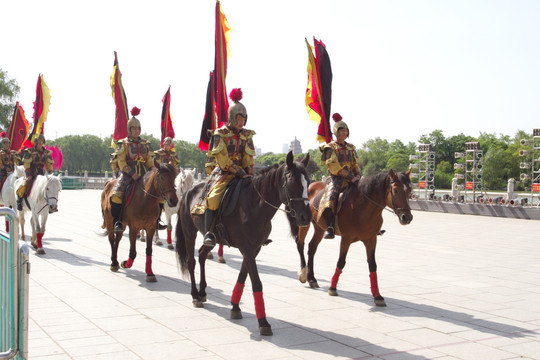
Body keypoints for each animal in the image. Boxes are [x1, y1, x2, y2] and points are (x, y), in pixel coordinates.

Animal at [177, 151, 312, 334]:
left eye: (309, 182)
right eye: (292, 182)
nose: (306, 216)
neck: (256, 205)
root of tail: (189, 191)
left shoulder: (254, 248)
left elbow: (243, 275)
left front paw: (235, 306)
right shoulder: (247, 248)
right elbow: (256, 282)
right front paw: (263, 321)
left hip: (210, 236)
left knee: (202, 255)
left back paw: (203, 291)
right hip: (189, 231)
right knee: (191, 261)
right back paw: (195, 295)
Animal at [294, 169, 412, 306]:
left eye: (410, 190)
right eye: (396, 190)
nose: (407, 217)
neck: (364, 207)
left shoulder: (371, 239)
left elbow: (372, 265)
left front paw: (377, 295)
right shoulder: (346, 238)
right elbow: (341, 262)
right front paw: (332, 288)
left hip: (319, 227)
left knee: (312, 248)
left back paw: (312, 279)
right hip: (304, 222)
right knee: (300, 244)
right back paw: (303, 274)